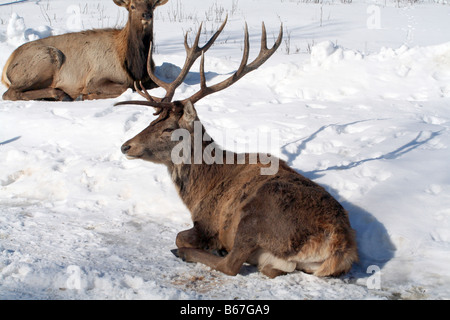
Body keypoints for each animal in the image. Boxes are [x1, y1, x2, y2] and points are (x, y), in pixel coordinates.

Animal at [0, 0, 168, 101]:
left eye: (152, 5)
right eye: (132, 6)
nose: (146, 15)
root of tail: (6, 68)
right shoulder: (96, 78)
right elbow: (126, 87)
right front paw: (85, 95)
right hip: (45, 60)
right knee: (9, 93)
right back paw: (61, 94)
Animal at [117, 20, 358, 278]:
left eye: (168, 128)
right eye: (153, 121)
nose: (125, 145)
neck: (198, 193)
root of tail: (339, 247)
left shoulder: (207, 222)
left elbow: (181, 236)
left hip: (257, 214)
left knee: (230, 264)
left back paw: (189, 253)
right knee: (271, 268)